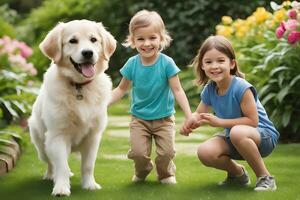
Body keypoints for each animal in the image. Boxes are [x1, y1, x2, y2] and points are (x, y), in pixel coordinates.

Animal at [28, 19, 116, 196]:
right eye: (73, 41)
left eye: (93, 40)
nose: (88, 53)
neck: (79, 86)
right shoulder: (57, 135)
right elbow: (61, 165)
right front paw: (61, 188)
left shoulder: (93, 136)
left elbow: (88, 165)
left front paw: (89, 185)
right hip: (42, 143)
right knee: (50, 162)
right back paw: (50, 175)